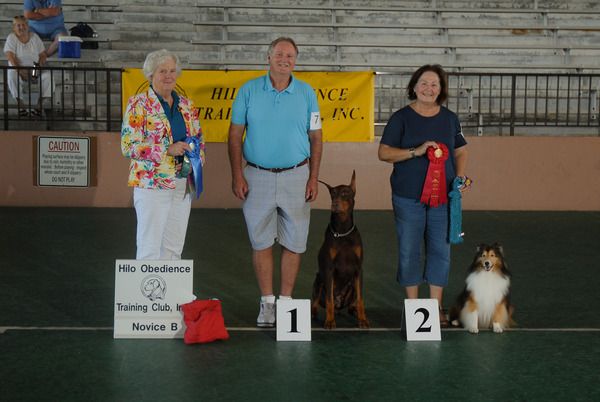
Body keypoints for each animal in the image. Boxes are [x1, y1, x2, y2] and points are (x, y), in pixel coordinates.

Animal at [311, 170, 369, 329]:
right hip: (319, 280)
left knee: (353, 302)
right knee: (317, 302)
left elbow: (361, 299)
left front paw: (362, 320)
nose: (334, 204)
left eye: (345, 193)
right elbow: (329, 300)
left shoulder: (358, 269)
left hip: (352, 285)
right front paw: (330, 321)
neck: (342, 231)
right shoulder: (329, 269)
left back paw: (354, 311)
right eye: (333, 194)